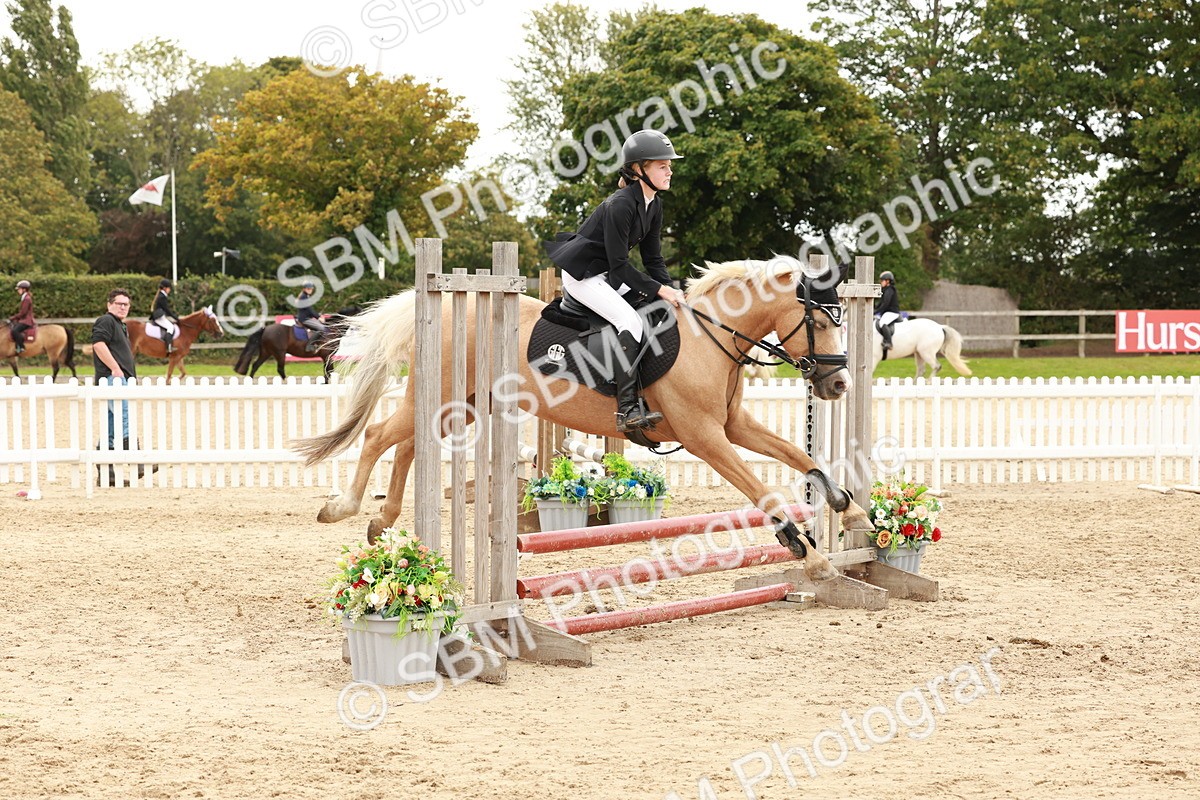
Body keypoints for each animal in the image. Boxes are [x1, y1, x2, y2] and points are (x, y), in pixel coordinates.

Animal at [233, 307, 362, 380]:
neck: (332, 330)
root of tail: (266, 329)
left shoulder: (328, 357)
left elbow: (328, 373)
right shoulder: (327, 356)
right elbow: (328, 372)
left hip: (266, 352)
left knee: (255, 366)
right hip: (279, 353)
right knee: (280, 369)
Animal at [295, 258, 875, 583]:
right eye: (818, 319)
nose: (839, 386)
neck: (712, 339)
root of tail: (440, 309)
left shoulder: (732, 427)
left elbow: (798, 455)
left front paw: (849, 510)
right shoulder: (706, 438)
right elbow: (764, 491)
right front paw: (811, 556)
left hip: (463, 405)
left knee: (406, 445)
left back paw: (381, 522)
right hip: (443, 401)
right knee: (380, 435)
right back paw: (343, 509)